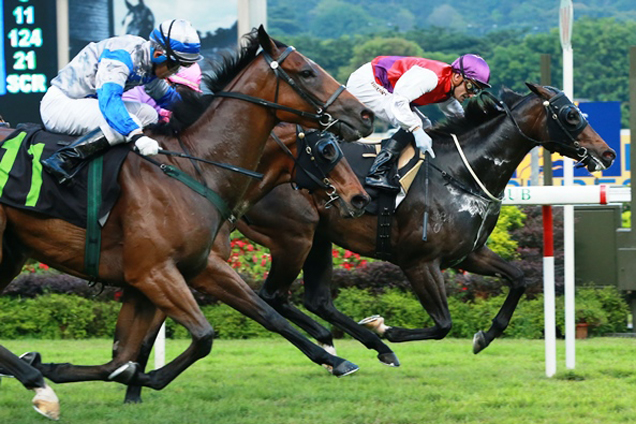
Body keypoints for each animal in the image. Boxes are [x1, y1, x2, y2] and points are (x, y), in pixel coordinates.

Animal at [0, 25, 372, 390]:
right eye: (307, 72)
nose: (365, 115)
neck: (196, 167)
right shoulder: (152, 272)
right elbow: (202, 336)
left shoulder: (193, 268)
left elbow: (264, 315)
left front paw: (338, 359)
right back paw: (33, 378)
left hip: (14, 253)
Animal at [235, 84, 616, 366]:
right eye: (571, 115)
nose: (608, 153)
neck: (460, 171)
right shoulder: (419, 262)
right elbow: (443, 324)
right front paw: (387, 328)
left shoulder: (469, 254)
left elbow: (520, 279)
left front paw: (484, 337)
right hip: (295, 237)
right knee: (272, 295)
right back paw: (354, 343)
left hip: (318, 238)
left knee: (315, 300)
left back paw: (352, 344)